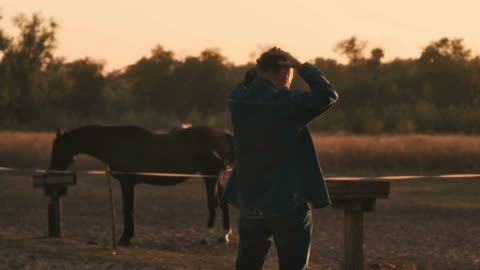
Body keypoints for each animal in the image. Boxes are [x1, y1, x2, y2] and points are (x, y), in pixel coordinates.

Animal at [47, 125, 233, 246]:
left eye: (57, 149)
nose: (51, 170)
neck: (116, 143)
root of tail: (223, 135)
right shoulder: (130, 184)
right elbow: (130, 209)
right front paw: (127, 237)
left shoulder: (127, 183)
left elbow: (128, 209)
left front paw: (125, 238)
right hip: (216, 178)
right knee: (223, 202)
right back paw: (224, 235)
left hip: (210, 177)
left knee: (213, 204)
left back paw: (206, 237)